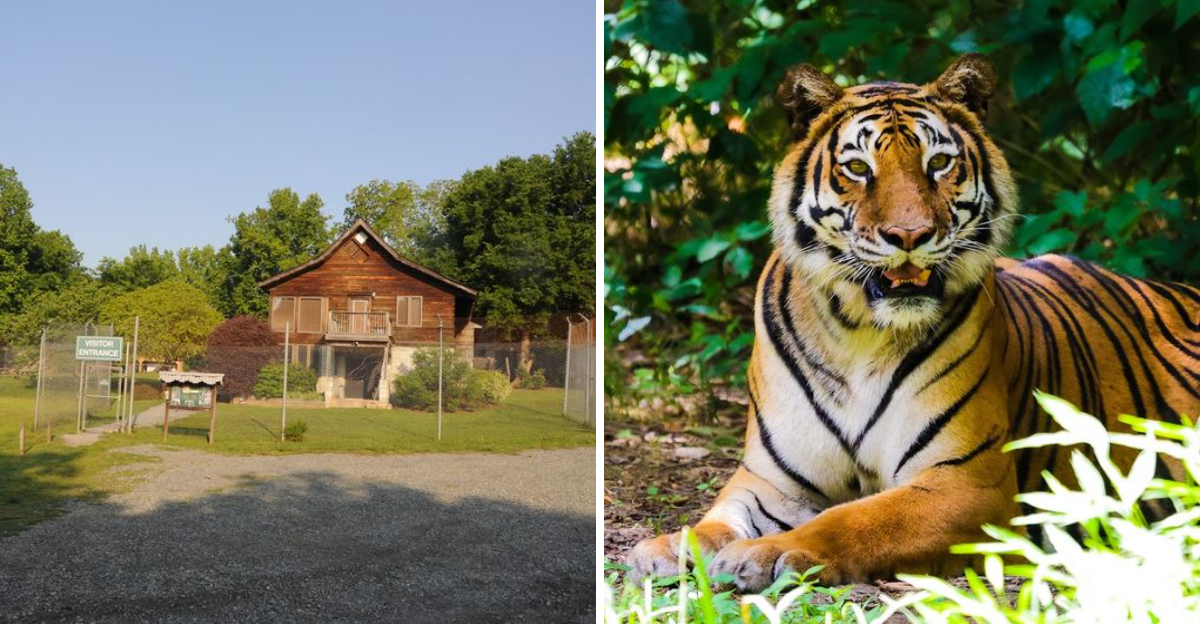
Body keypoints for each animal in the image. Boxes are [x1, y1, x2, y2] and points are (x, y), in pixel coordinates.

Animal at [627, 54, 1200, 591]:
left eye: (940, 162)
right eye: (858, 169)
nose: (910, 235)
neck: (856, 332)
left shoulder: (968, 484)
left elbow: (855, 519)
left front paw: (765, 554)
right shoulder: (773, 482)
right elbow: (717, 520)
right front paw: (666, 546)